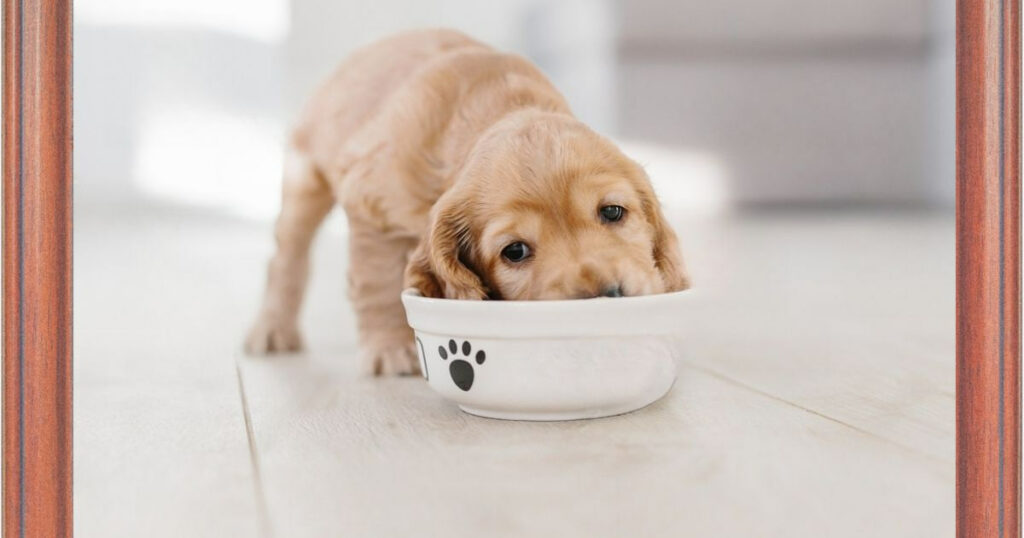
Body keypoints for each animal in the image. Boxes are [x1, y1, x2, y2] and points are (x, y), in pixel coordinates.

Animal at [247, 29, 692, 373]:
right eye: (515, 251)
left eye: (613, 211)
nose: (607, 294)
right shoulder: (371, 206)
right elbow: (377, 281)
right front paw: (390, 349)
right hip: (305, 178)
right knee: (286, 259)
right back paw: (273, 330)